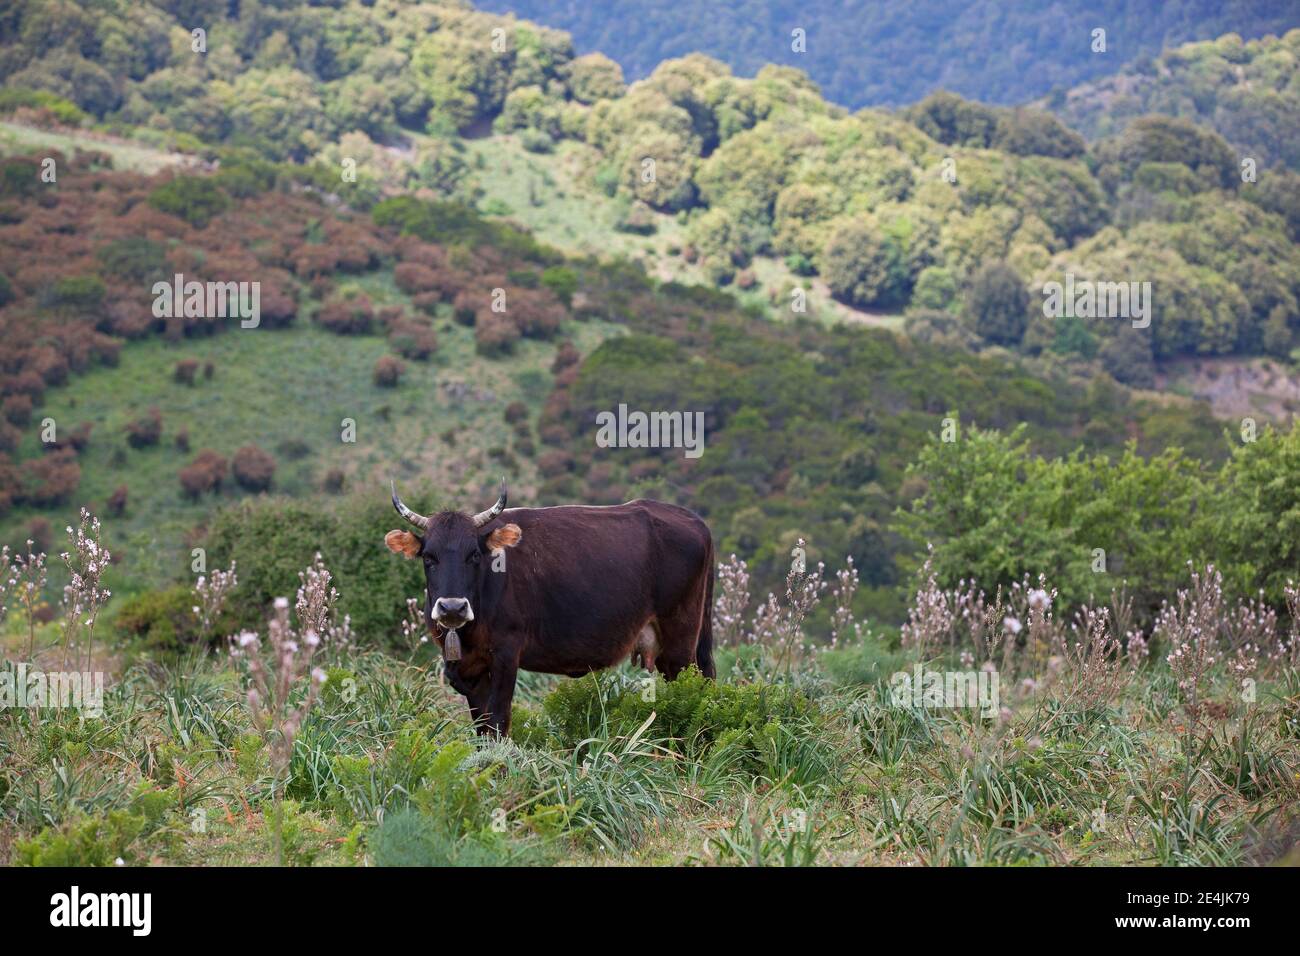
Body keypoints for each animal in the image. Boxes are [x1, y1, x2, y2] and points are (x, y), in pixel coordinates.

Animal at [384, 481, 717, 738]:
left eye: (474, 555)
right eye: (429, 557)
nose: (452, 607)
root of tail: (693, 520)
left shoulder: (506, 655)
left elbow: (499, 721)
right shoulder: (470, 669)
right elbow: (482, 728)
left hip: (680, 641)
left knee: (695, 690)